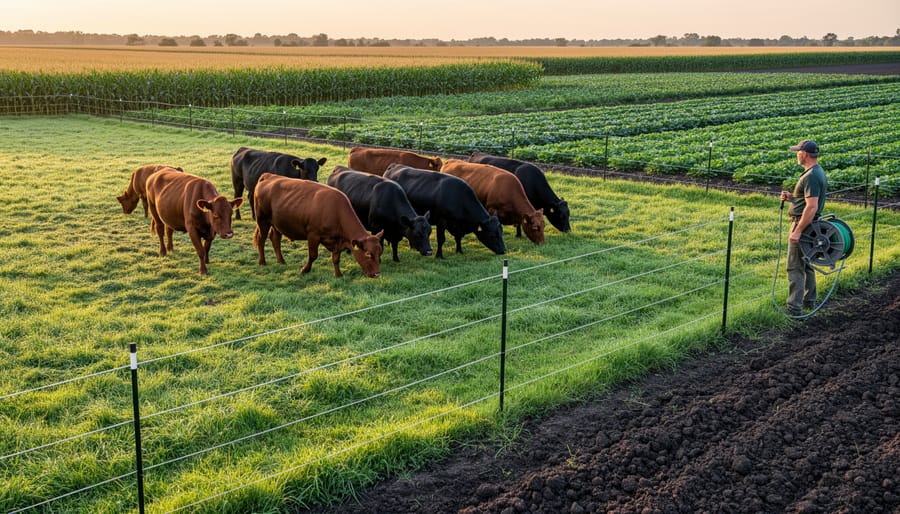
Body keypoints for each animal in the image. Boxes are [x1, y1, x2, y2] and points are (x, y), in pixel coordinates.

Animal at [253, 173, 384, 278]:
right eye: (368, 254)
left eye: (380, 253)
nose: (377, 274)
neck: (336, 211)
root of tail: (269, 176)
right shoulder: (313, 235)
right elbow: (313, 255)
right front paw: (305, 270)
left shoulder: (337, 241)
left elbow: (336, 258)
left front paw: (338, 274)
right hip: (262, 221)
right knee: (261, 239)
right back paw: (262, 262)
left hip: (277, 224)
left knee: (275, 239)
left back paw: (281, 261)